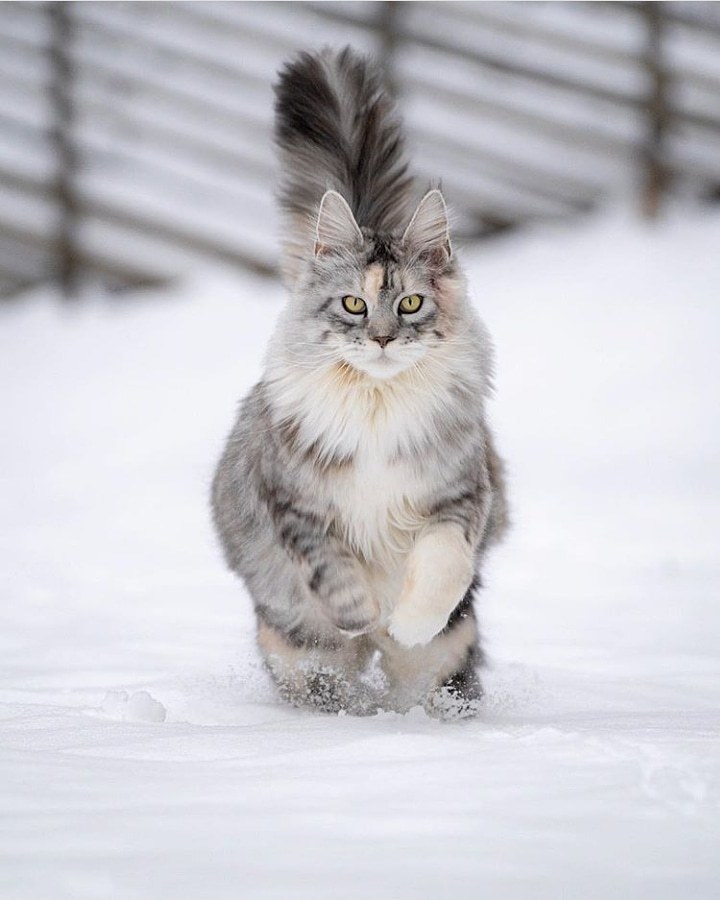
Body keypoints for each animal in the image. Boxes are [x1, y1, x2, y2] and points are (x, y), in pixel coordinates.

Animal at [211, 49, 510, 720]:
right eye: (353, 303)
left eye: (409, 303)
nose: (380, 338)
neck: (377, 404)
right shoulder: (294, 503)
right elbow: (333, 572)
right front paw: (363, 616)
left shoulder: (459, 496)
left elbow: (442, 565)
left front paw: (404, 623)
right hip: (296, 653)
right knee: (329, 682)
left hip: (449, 656)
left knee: (430, 683)